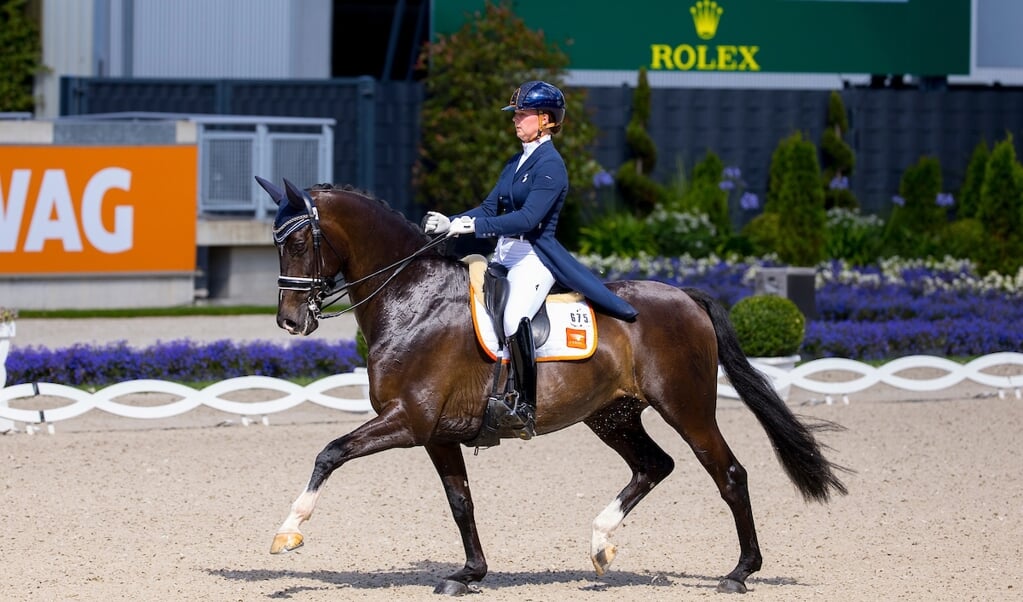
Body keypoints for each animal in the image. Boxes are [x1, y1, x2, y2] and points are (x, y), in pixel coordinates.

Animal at [255, 176, 847, 593]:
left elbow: (330, 452)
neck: (410, 298)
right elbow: (461, 502)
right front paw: (469, 573)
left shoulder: (408, 420)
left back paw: (740, 571)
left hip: (687, 407)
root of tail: (686, 296)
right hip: (612, 415)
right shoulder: (437, 433)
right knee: (654, 465)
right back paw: (601, 544)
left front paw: (288, 532)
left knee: (728, 474)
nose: (289, 321)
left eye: (301, 242)